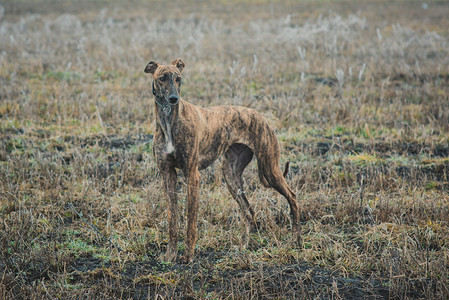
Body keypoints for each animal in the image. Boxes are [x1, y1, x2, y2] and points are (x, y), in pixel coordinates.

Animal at [144, 58, 298, 262]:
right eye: (162, 78)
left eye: (179, 79)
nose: (174, 99)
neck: (170, 120)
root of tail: (260, 116)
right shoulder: (167, 174)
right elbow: (172, 220)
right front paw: (170, 255)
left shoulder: (192, 175)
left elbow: (191, 221)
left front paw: (189, 256)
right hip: (231, 175)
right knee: (249, 212)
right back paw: (243, 247)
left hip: (270, 168)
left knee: (292, 197)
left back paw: (295, 239)